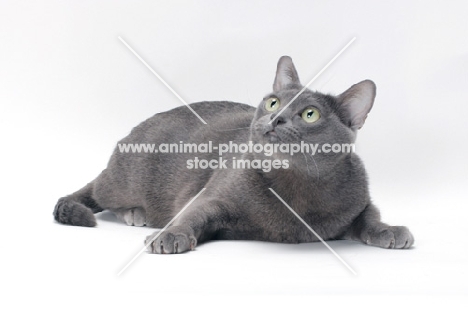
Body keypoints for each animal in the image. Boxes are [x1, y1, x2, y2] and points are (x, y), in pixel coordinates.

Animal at [53, 55, 414, 254]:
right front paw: (171, 234)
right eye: (272, 102)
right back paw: (134, 213)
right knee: (102, 194)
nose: (275, 118)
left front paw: (390, 230)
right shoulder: (210, 196)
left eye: (310, 114)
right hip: (127, 177)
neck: (295, 188)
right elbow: (191, 215)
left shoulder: (359, 199)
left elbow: (370, 216)